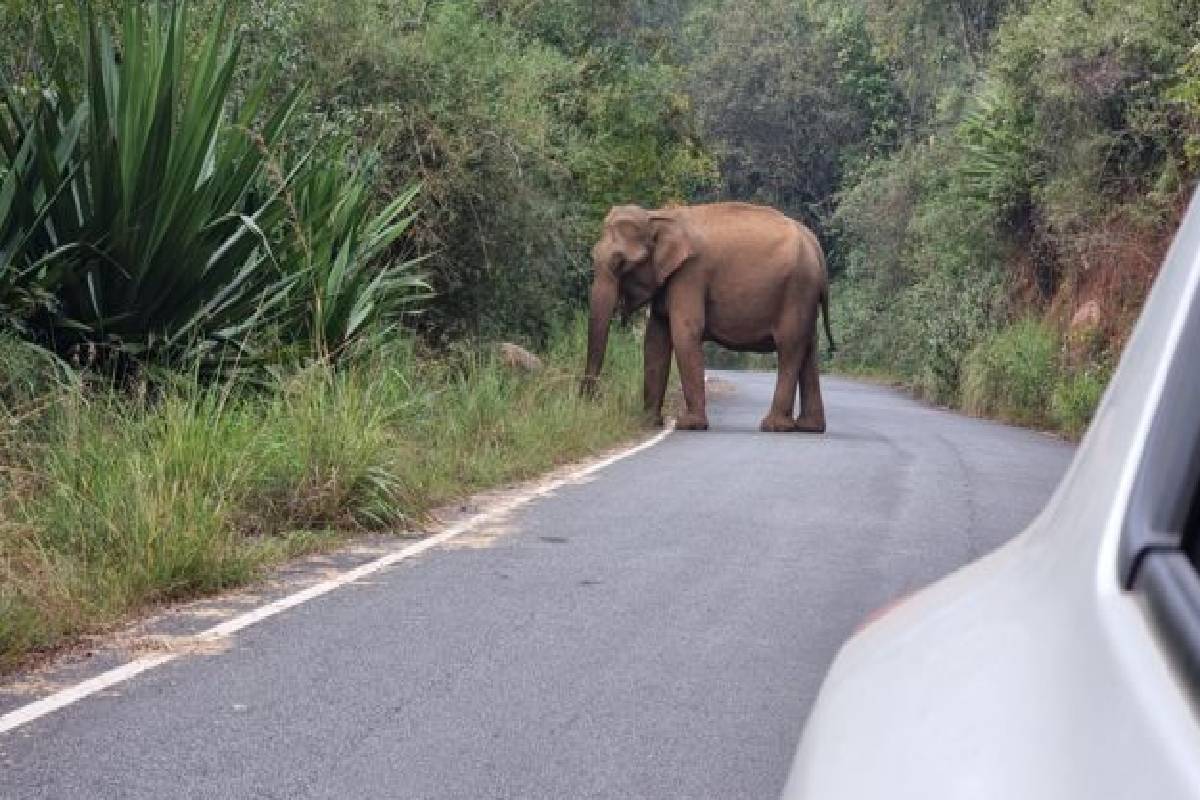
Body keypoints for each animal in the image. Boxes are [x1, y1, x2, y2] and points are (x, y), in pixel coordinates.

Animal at [581, 202, 835, 433]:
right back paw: (809, 427)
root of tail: (817, 248)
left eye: (620, 262)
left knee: (789, 346)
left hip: (797, 290)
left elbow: (685, 332)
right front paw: (649, 422)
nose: (590, 398)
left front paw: (689, 425)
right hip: (805, 296)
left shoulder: (690, 273)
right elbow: (655, 339)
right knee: (808, 348)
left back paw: (774, 426)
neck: (658, 216)